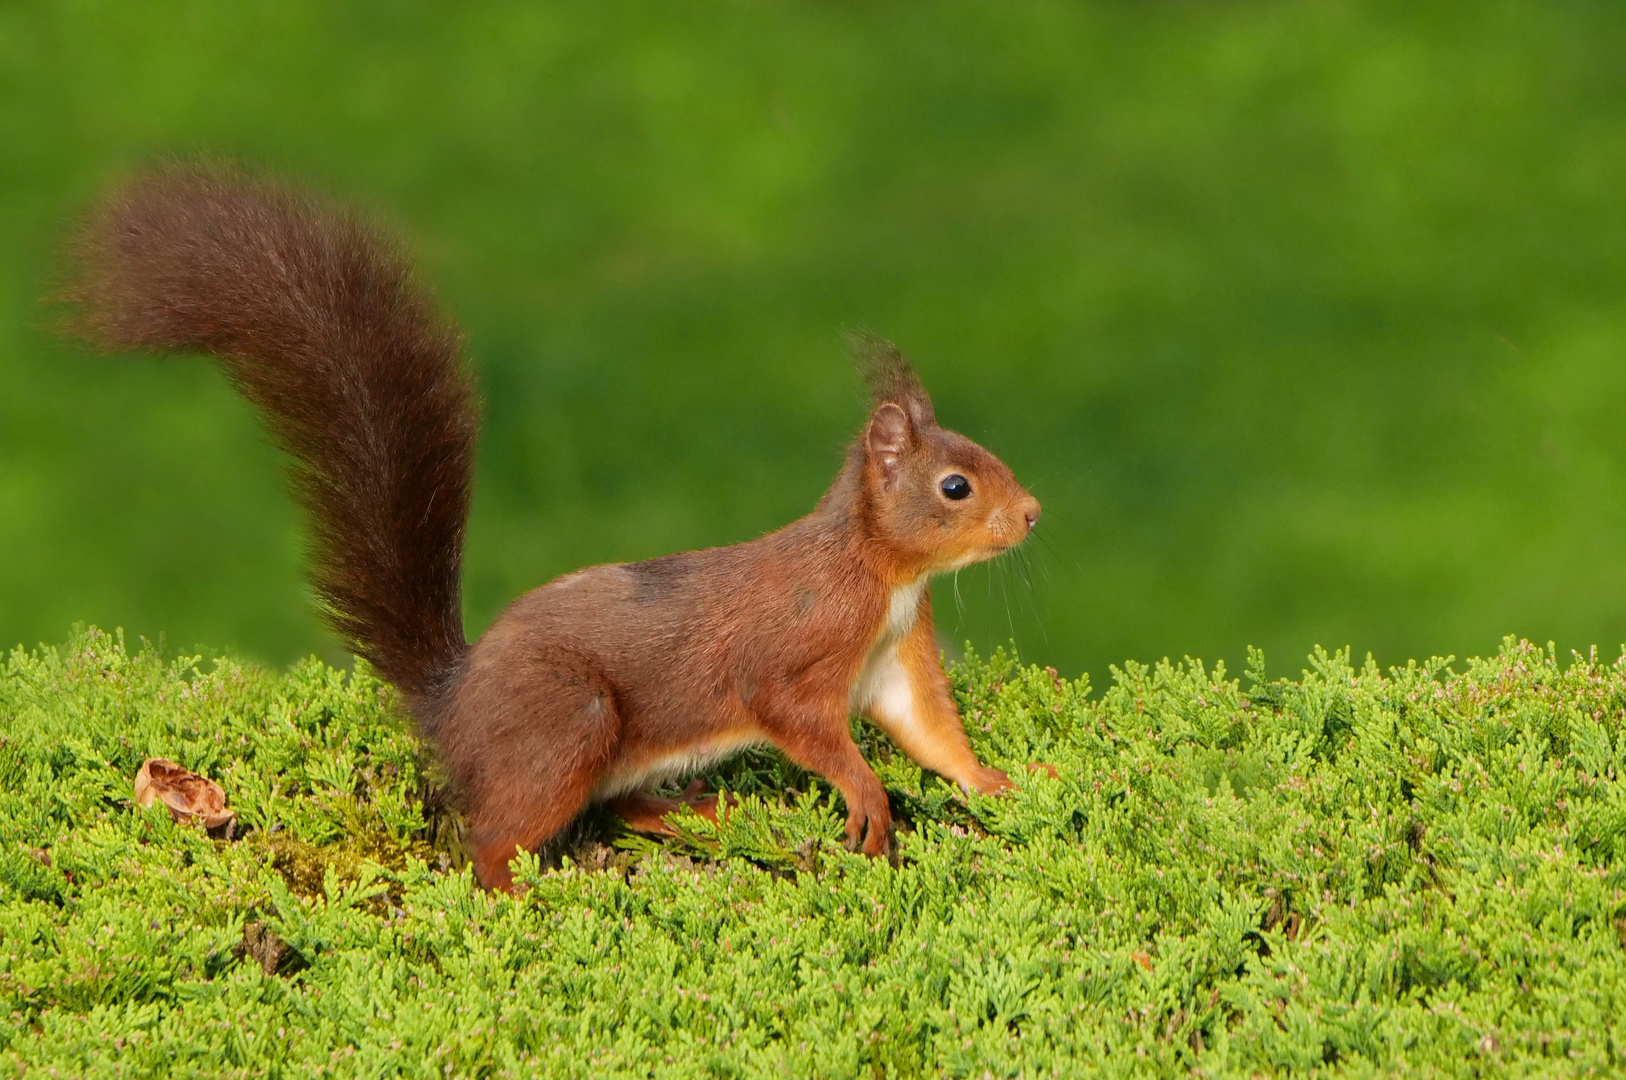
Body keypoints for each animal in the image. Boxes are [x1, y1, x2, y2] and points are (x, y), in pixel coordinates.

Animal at [63, 164, 1040, 891]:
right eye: (955, 486)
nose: (1032, 514)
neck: (882, 572)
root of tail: (453, 707)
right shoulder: (799, 646)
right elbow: (800, 718)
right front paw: (866, 794)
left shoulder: (896, 657)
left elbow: (930, 730)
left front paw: (998, 779)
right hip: (570, 719)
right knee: (493, 837)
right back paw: (520, 888)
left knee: (617, 804)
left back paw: (699, 812)